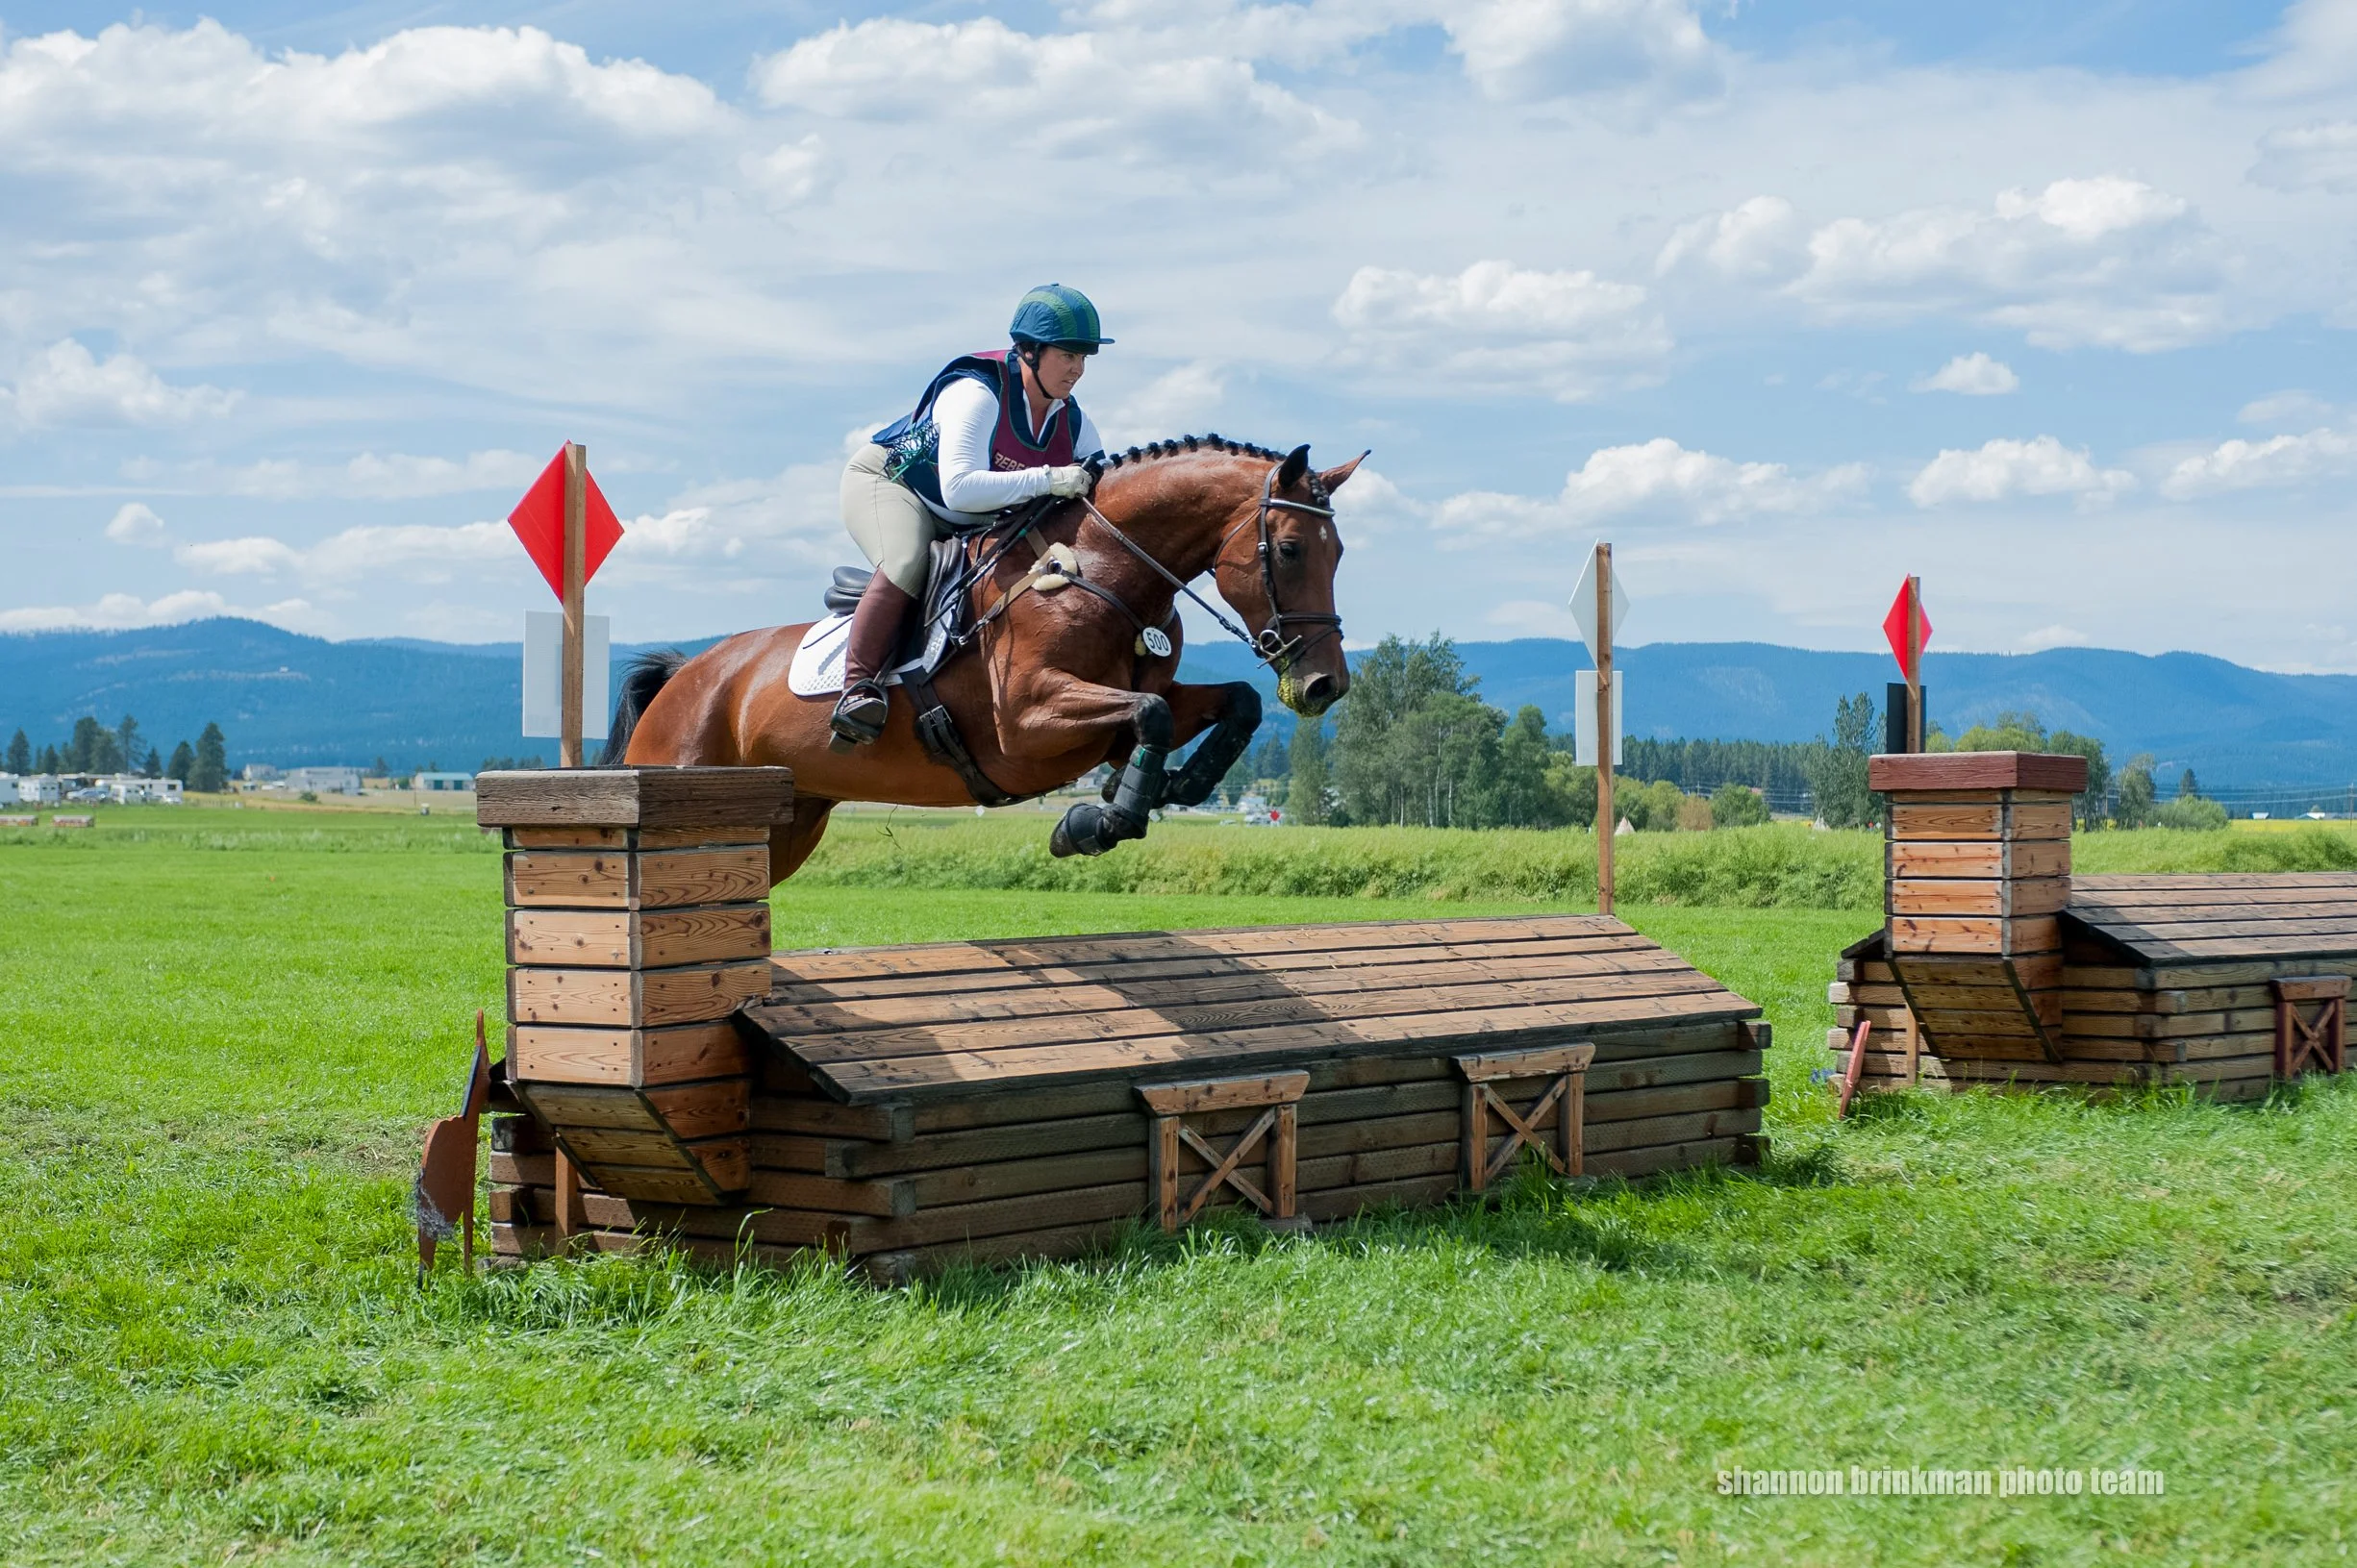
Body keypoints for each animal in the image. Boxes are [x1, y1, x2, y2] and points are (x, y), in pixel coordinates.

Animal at [604, 436, 1363, 886]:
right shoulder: (1027, 724)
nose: (1324, 684)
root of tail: (686, 675)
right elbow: (1146, 714)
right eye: (1290, 548)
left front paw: (1174, 785)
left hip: (791, 823)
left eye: (1340, 555)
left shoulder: (1141, 698)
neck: (1104, 571)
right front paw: (1092, 824)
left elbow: (1233, 702)